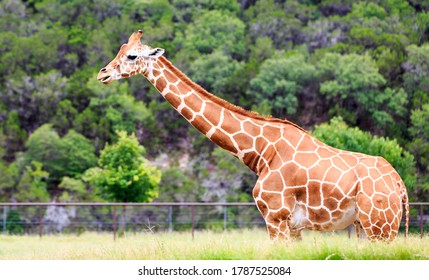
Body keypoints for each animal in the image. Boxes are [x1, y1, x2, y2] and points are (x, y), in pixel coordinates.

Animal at [97, 30, 408, 241]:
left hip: (380, 225)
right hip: (364, 226)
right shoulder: (291, 226)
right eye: (120, 50)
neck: (261, 152)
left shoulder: (275, 216)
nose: (102, 74)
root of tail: (399, 185)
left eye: (131, 56)